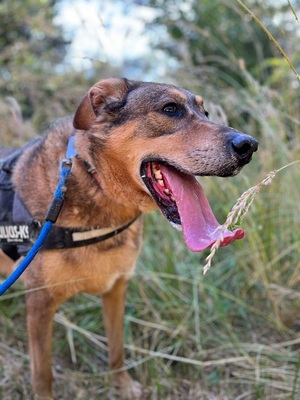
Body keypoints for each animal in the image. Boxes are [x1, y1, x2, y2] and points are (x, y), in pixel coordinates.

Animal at [0, 77, 258, 396]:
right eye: (170, 109)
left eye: (205, 112)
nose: (249, 145)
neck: (97, 185)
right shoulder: (39, 304)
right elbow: (43, 375)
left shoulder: (116, 288)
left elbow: (117, 348)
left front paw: (122, 386)